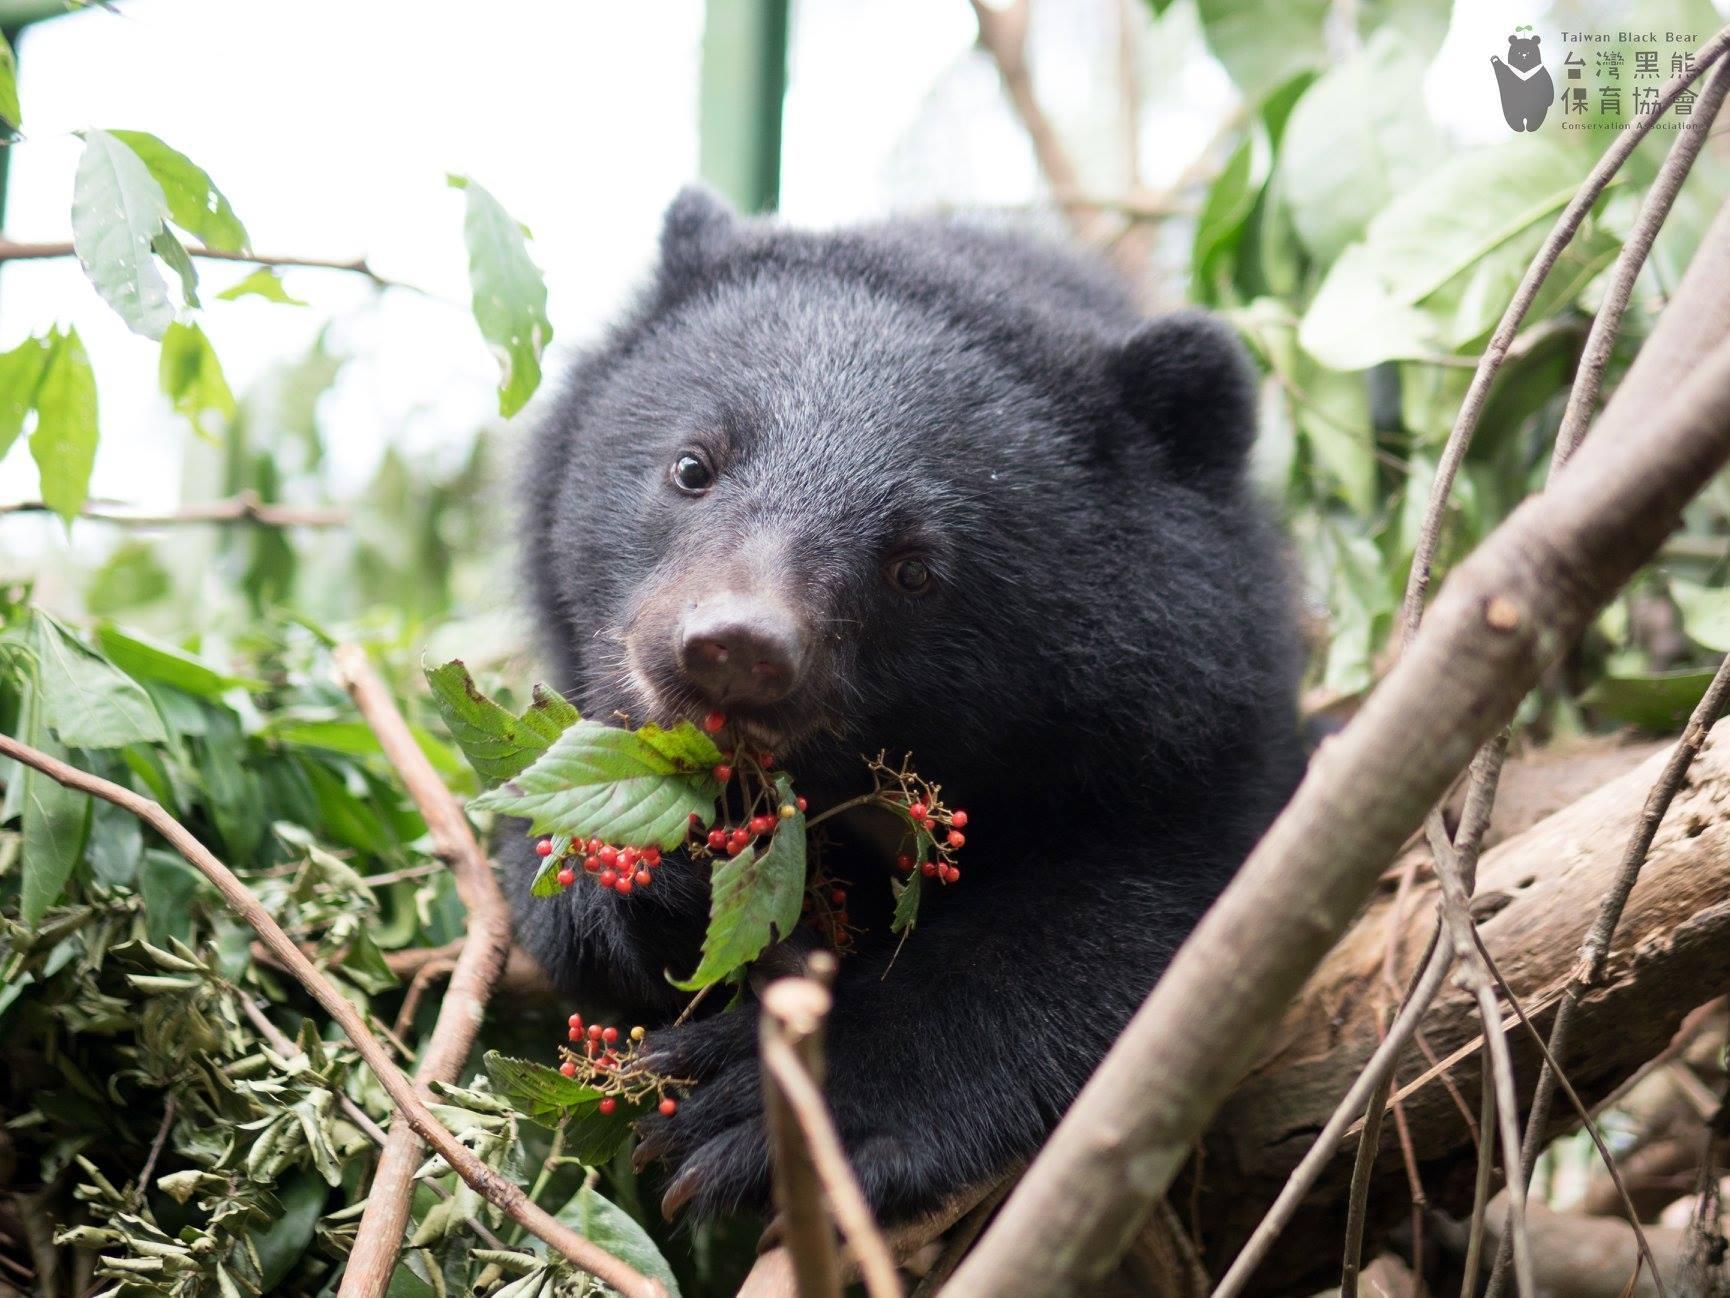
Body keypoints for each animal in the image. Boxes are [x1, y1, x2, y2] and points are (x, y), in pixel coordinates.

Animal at [506, 187, 1306, 1223]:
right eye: (693, 466)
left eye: (916, 568)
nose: (734, 651)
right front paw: (640, 881)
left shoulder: (1198, 738)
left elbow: (1139, 924)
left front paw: (762, 1108)